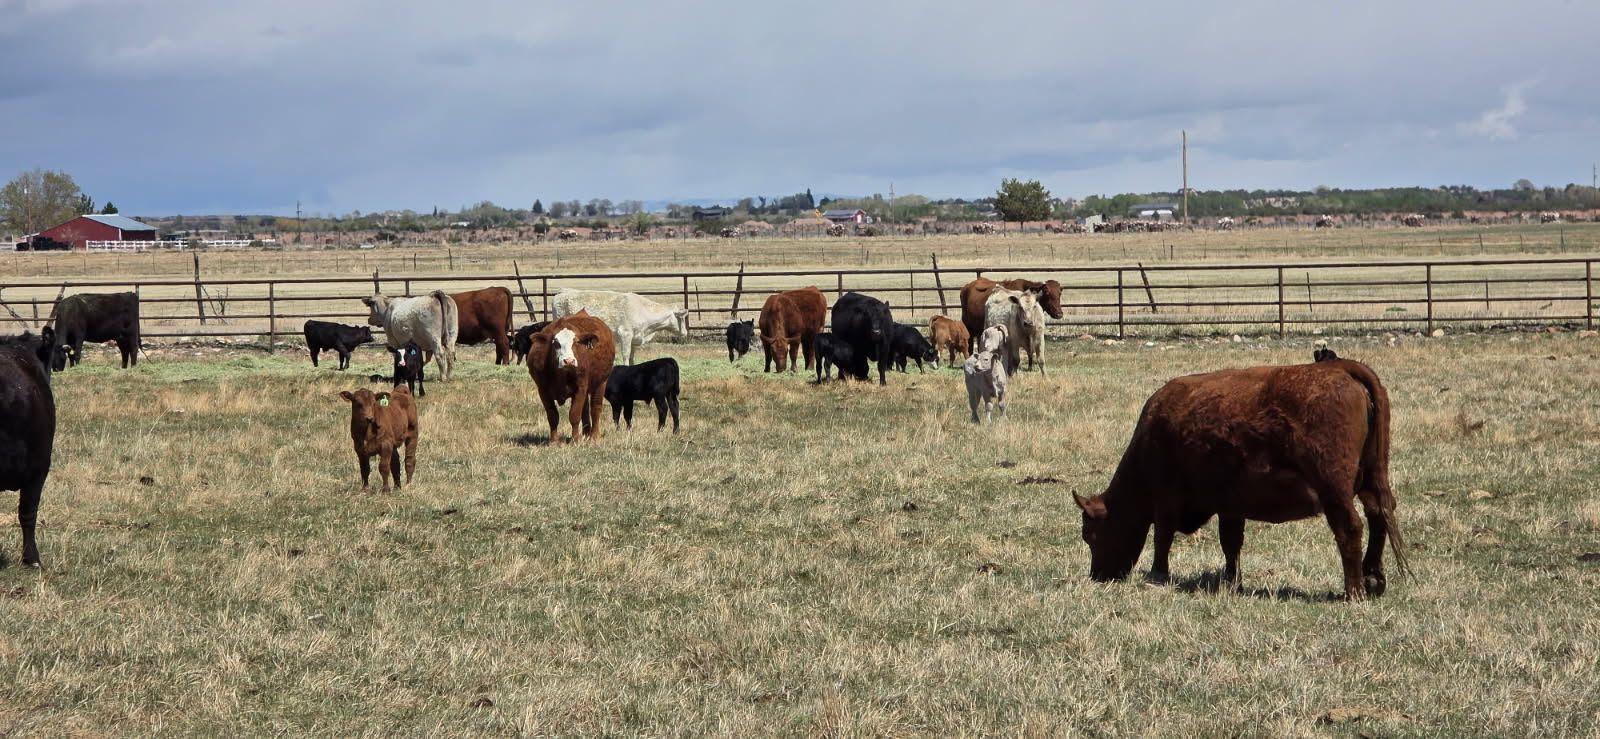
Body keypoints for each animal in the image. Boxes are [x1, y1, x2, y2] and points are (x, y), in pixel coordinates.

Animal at [526, 311, 616, 443]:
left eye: (577, 342)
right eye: (556, 343)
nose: (568, 361)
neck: (561, 375)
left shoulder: (580, 388)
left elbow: (574, 415)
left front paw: (575, 440)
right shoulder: (543, 390)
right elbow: (552, 416)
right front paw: (554, 441)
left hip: (601, 383)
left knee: (595, 408)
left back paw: (594, 436)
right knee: (585, 409)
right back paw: (585, 433)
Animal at [551, 290, 689, 366]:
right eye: (682, 318)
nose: (685, 333)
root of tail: (562, 293)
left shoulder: (635, 338)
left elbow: (632, 357)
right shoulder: (625, 335)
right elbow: (626, 355)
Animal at [1073, 358, 1406, 600]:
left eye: (1090, 535)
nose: (1098, 576)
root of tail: (1339, 368)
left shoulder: (1165, 498)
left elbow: (1162, 537)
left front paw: (1158, 575)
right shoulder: (1230, 505)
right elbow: (1230, 542)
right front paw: (1232, 580)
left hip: (1333, 487)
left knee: (1350, 527)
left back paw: (1354, 591)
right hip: (1372, 479)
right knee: (1378, 516)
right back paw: (1373, 580)